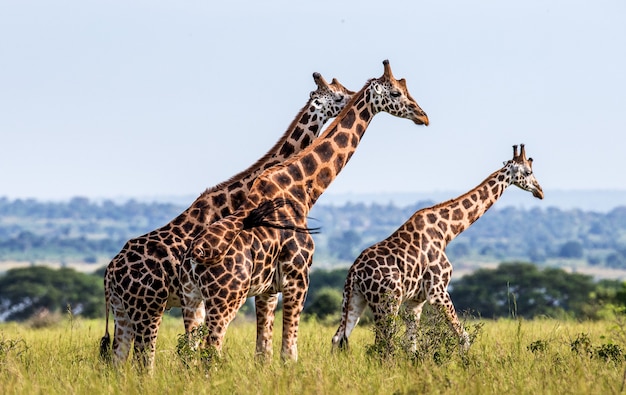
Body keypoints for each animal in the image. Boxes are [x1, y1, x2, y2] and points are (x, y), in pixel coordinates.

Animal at [97, 72, 352, 372]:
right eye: (338, 96)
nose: (354, 95)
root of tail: (109, 273)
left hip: (123, 310)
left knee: (118, 360)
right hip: (147, 308)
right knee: (143, 360)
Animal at [185, 58, 428, 362]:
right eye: (396, 92)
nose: (423, 116)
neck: (301, 191)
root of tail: (195, 256)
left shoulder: (267, 289)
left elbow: (263, 352)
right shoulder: (298, 278)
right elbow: (289, 352)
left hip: (193, 298)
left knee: (190, 352)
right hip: (225, 297)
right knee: (211, 348)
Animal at [332, 145, 540, 352]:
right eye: (528, 172)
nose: (540, 191)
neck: (447, 232)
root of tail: (354, 272)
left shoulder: (416, 300)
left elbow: (411, 346)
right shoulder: (438, 291)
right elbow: (464, 338)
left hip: (354, 300)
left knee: (338, 338)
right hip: (387, 301)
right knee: (383, 343)